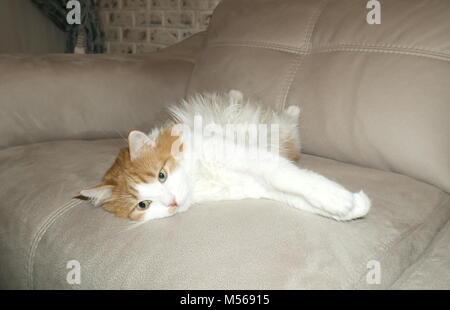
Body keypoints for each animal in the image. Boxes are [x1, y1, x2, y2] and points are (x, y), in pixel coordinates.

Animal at [80, 91, 370, 222]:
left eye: (162, 175)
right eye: (143, 205)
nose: (172, 203)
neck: (200, 177)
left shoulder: (253, 159)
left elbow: (295, 179)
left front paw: (340, 199)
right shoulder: (257, 186)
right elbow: (300, 199)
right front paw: (355, 206)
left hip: (280, 132)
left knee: (288, 122)